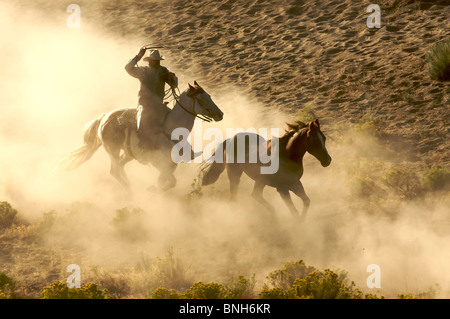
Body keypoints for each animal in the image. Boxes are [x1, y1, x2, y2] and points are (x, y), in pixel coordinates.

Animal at [62, 82, 224, 192]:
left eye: (209, 95)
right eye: (201, 100)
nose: (220, 114)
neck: (170, 131)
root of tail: (104, 118)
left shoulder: (171, 165)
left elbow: (164, 181)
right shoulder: (159, 164)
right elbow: (171, 182)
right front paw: (152, 191)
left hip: (128, 154)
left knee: (120, 166)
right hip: (113, 151)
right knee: (114, 170)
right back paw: (129, 190)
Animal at [200, 119, 330, 222]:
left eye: (324, 138)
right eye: (314, 140)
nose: (328, 160)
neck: (286, 155)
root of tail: (230, 139)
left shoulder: (295, 183)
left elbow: (306, 201)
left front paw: (302, 221)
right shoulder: (282, 189)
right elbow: (294, 211)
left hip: (260, 180)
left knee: (255, 195)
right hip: (235, 175)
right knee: (236, 197)